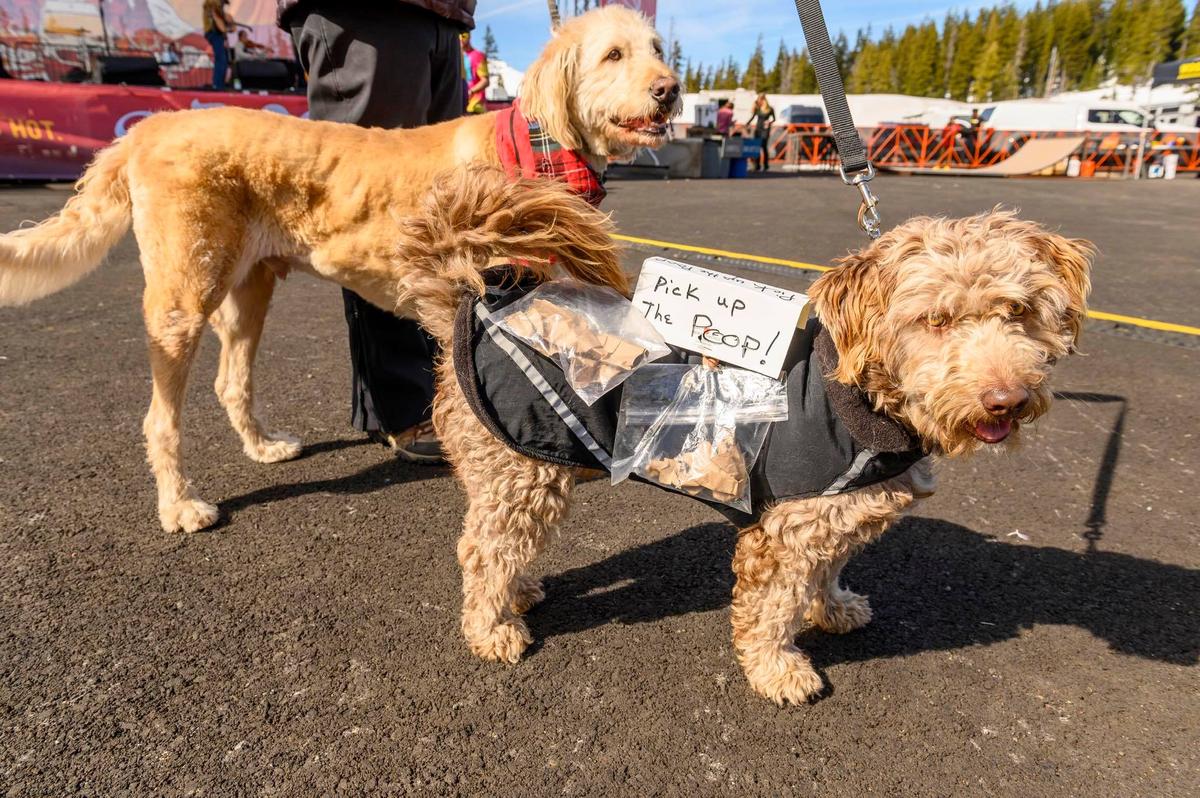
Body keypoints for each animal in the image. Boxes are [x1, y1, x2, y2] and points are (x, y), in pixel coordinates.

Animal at [0, 4, 681, 535]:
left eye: (655, 50)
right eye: (612, 55)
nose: (669, 88)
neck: (542, 145)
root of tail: (147, 128)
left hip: (249, 290)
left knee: (231, 381)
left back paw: (262, 447)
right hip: (182, 299)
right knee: (158, 419)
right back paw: (180, 506)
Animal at [355, 169, 1089, 705]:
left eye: (1018, 311)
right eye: (934, 320)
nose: (1006, 399)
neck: (867, 397)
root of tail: (471, 301)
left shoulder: (836, 517)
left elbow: (827, 573)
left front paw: (834, 608)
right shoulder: (784, 531)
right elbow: (771, 607)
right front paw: (779, 671)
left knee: (501, 547)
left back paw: (520, 590)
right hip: (519, 472)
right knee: (484, 551)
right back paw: (493, 628)